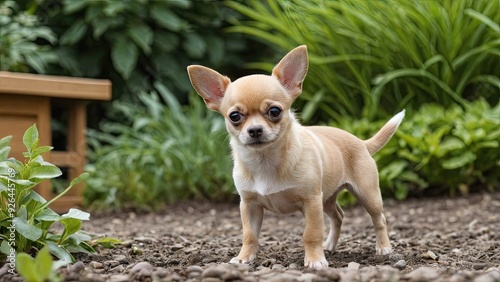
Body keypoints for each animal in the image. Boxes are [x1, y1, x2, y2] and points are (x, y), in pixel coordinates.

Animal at [186, 45, 404, 268]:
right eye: (234, 116)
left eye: (274, 111)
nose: (255, 130)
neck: (265, 160)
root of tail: (361, 142)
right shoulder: (249, 205)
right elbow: (249, 235)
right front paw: (244, 258)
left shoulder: (311, 202)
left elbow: (311, 233)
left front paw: (315, 260)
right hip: (327, 198)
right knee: (338, 216)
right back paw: (330, 246)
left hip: (367, 194)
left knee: (379, 219)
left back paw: (383, 248)